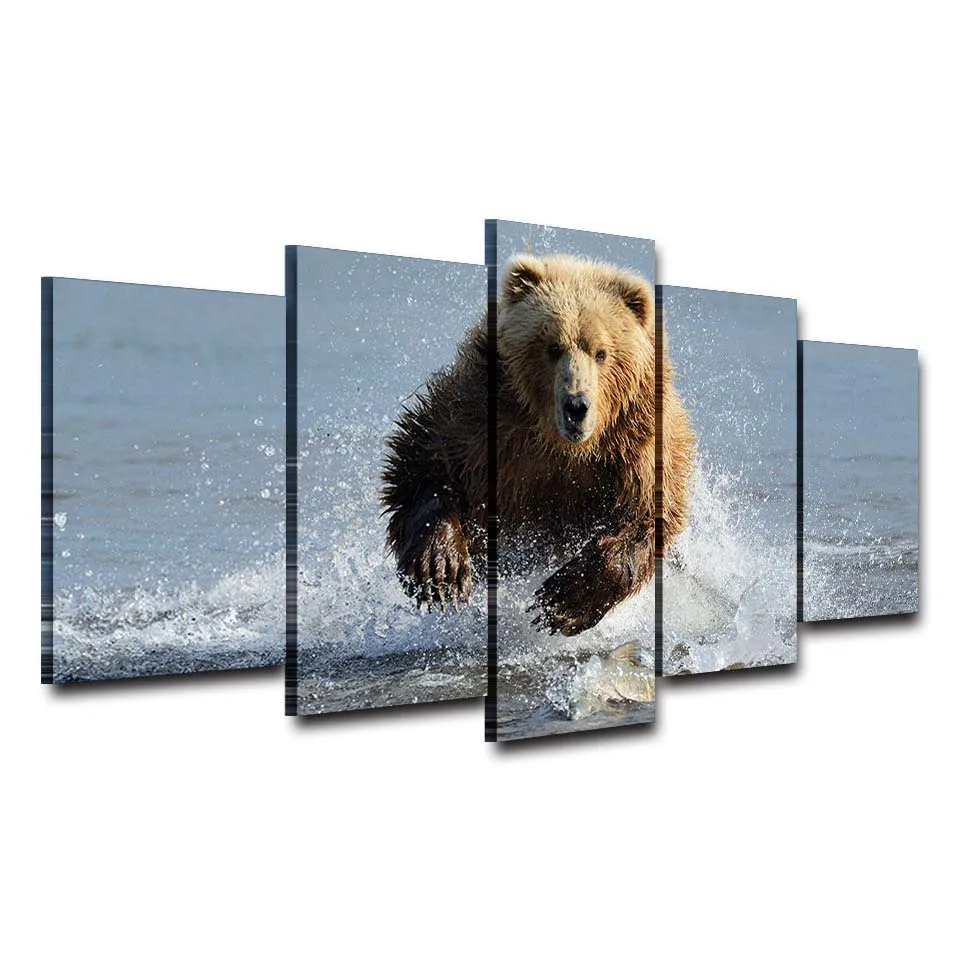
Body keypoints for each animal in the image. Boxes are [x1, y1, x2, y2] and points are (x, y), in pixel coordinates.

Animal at [381, 254, 694, 636]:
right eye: (552, 347)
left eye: (601, 352)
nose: (577, 405)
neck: (558, 443)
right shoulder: (480, 418)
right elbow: (425, 462)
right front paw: (441, 570)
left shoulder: (635, 447)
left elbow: (644, 517)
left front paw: (562, 601)